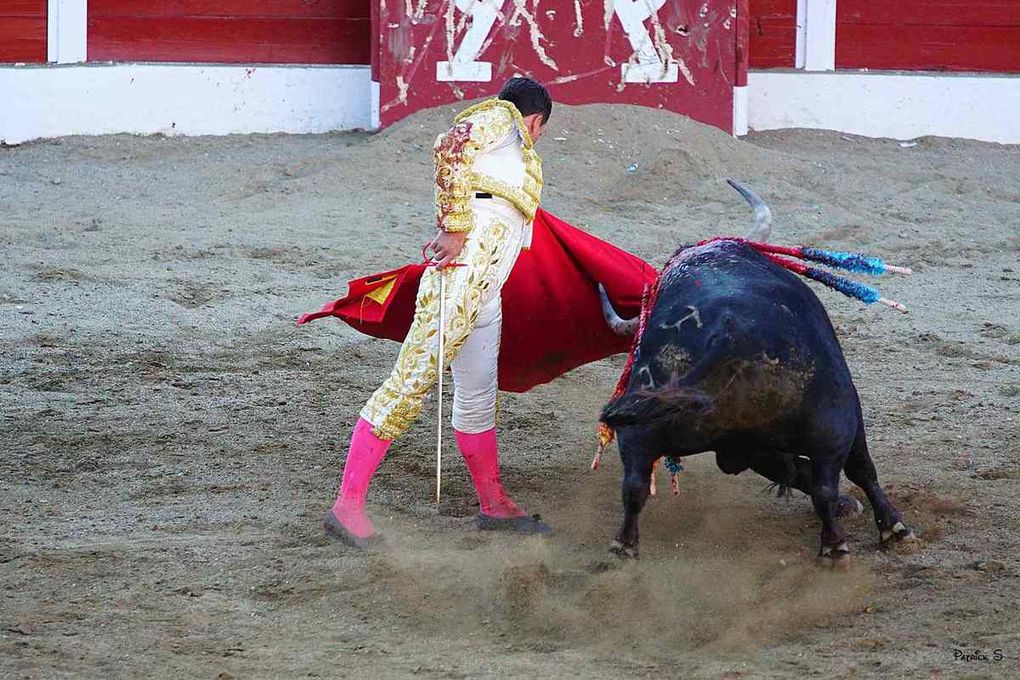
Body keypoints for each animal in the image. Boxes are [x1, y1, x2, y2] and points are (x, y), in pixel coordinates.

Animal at [595, 179, 918, 562]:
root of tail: (726, 334)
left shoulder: (750, 447)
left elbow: (795, 471)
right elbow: (857, 469)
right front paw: (892, 527)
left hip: (644, 425)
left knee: (634, 482)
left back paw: (623, 546)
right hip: (833, 419)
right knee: (835, 476)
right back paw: (840, 544)